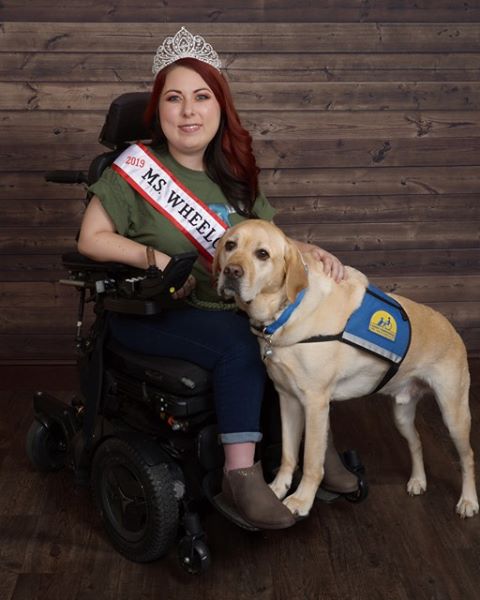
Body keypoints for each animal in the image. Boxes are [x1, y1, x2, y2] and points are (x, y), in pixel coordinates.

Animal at [215, 218, 476, 516]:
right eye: (230, 245)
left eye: (262, 254)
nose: (231, 271)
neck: (286, 312)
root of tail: (450, 326)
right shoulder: (288, 399)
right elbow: (289, 455)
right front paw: (278, 489)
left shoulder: (315, 403)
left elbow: (312, 461)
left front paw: (301, 500)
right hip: (402, 414)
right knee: (417, 442)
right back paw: (418, 480)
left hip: (453, 414)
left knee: (468, 456)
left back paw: (469, 501)